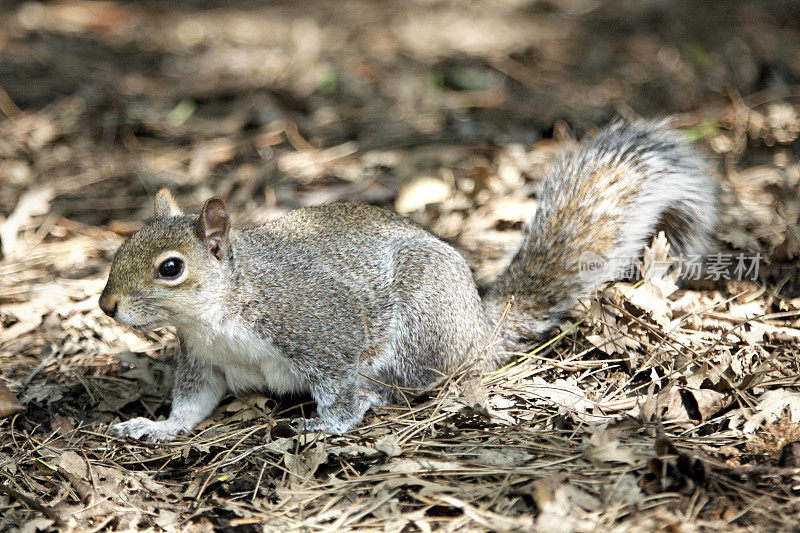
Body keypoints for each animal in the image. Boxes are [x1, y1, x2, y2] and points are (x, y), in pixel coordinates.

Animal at [98, 119, 720, 440]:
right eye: (121, 247)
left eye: (171, 268)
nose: (107, 306)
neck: (218, 317)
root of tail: (477, 330)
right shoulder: (202, 362)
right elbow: (191, 407)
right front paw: (153, 428)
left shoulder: (322, 331)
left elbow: (339, 386)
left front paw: (327, 426)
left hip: (422, 325)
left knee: (417, 385)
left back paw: (379, 395)